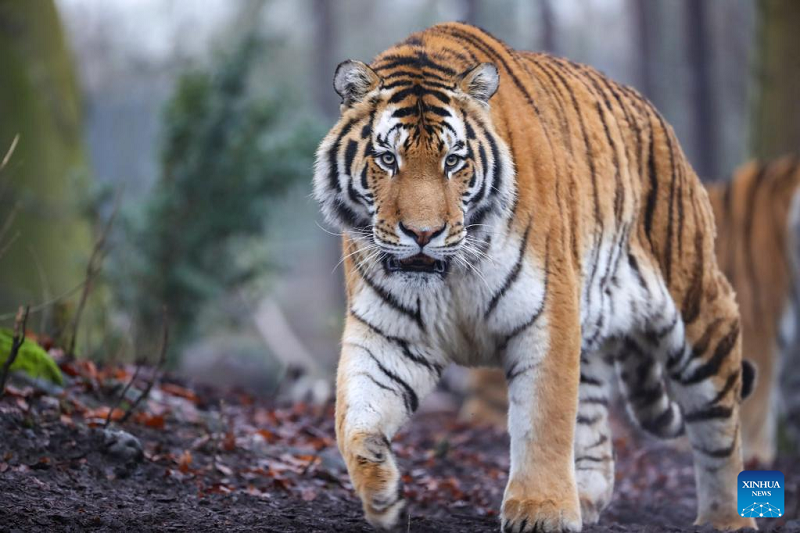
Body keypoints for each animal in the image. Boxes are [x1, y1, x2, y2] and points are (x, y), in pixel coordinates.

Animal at [314, 23, 756, 532]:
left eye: (452, 161)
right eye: (387, 159)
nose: (423, 234)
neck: (451, 274)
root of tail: (659, 122)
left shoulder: (548, 316)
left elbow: (544, 420)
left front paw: (541, 511)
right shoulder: (387, 336)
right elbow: (354, 417)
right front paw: (382, 492)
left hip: (699, 308)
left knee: (719, 426)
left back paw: (727, 518)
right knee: (595, 435)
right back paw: (585, 498)